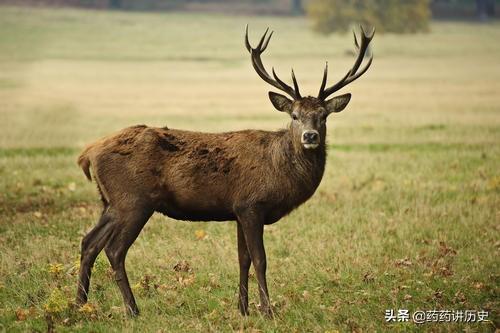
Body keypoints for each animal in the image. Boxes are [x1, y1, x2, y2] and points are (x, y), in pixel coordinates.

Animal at [76, 24, 374, 316]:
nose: (310, 136)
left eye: (323, 116)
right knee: (114, 250)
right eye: (294, 116)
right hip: (134, 200)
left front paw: (243, 309)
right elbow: (260, 259)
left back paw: (80, 304)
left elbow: (243, 259)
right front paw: (268, 311)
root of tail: (89, 152)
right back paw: (132, 309)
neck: (279, 170)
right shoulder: (252, 204)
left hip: (110, 202)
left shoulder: (238, 210)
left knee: (89, 242)